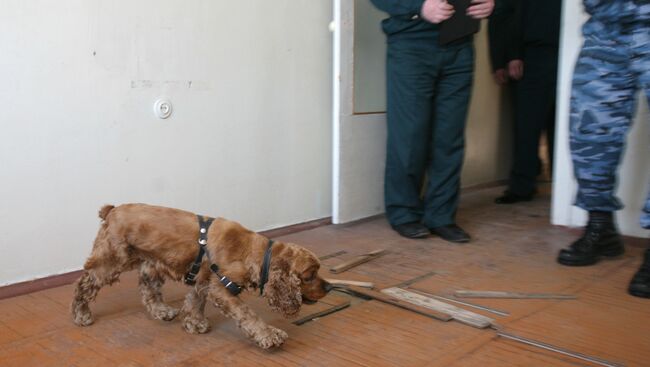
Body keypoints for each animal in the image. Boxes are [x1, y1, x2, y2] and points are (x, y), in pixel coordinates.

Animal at [72, 204, 330, 350]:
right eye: (309, 276)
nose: (328, 287)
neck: (253, 251)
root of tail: (111, 210)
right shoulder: (222, 288)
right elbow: (248, 314)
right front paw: (268, 335)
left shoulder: (204, 281)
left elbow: (195, 302)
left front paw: (193, 323)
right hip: (110, 261)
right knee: (83, 284)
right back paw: (81, 314)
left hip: (151, 263)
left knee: (148, 290)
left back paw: (162, 311)